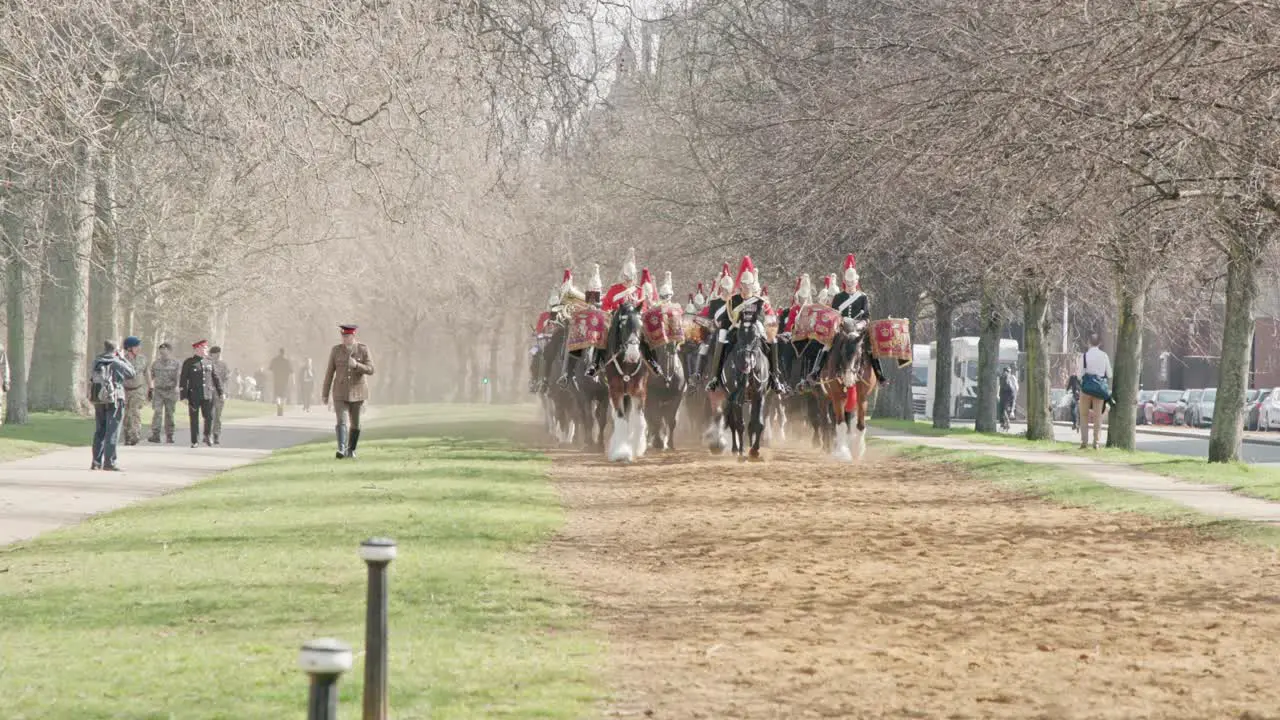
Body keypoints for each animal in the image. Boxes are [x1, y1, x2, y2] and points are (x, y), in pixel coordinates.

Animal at [601, 301, 650, 458]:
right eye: (622, 324)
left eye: (641, 324)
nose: (633, 354)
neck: (628, 364)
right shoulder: (615, 391)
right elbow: (620, 418)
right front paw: (621, 451)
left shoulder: (639, 391)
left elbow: (639, 420)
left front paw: (637, 447)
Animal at [819, 317, 880, 461]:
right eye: (842, 352)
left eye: (859, 354)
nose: (848, 378)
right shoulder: (837, 396)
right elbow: (840, 424)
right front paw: (842, 452)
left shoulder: (862, 397)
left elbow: (860, 424)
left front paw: (857, 450)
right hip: (824, 397)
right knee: (827, 420)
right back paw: (829, 445)